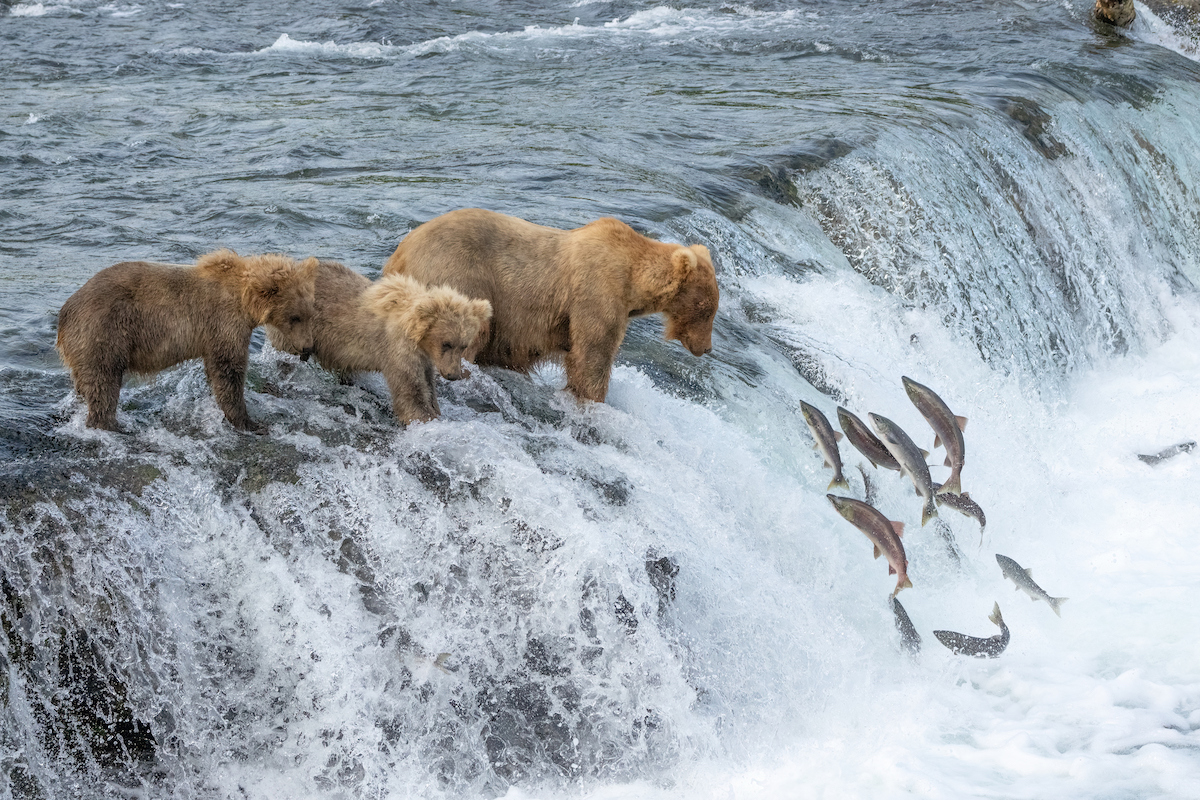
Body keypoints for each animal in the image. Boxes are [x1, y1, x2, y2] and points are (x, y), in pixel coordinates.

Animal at [266, 261, 492, 424]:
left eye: (463, 344)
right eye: (446, 343)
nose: (453, 374)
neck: (417, 339)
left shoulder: (424, 359)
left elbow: (428, 384)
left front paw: (436, 409)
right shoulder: (397, 350)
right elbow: (411, 391)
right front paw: (425, 417)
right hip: (297, 328)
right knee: (286, 355)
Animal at [384, 208, 715, 402]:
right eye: (705, 307)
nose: (706, 347)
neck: (633, 280)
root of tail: (399, 254)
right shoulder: (596, 293)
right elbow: (592, 356)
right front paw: (592, 399)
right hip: (459, 274)